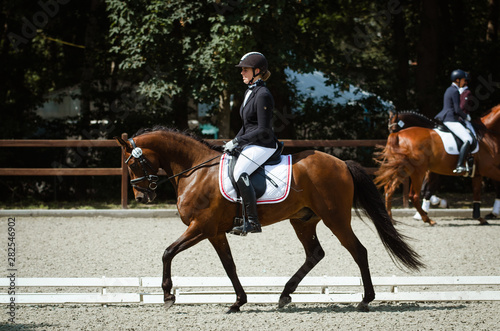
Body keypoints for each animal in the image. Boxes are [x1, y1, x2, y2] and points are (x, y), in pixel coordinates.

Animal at [115, 127, 424, 314]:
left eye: (132, 163)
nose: (142, 196)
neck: (195, 171)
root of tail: (341, 163)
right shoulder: (214, 232)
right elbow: (229, 266)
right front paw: (238, 302)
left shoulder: (201, 227)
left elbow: (168, 252)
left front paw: (168, 296)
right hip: (303, 221)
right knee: (315, 253)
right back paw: (285, 295)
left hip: (335, 218)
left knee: (358, 251)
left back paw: (365, 300)